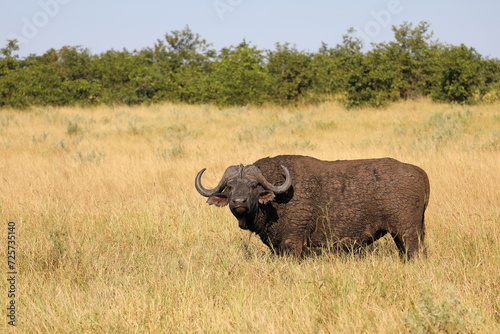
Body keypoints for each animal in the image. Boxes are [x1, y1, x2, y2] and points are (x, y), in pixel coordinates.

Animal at [195, 155, 430, 260]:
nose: (239, 202)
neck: (276, 201)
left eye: (254, 186)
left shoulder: (293, 243)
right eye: (230, 187)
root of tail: (420, 173)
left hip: (408, 233)